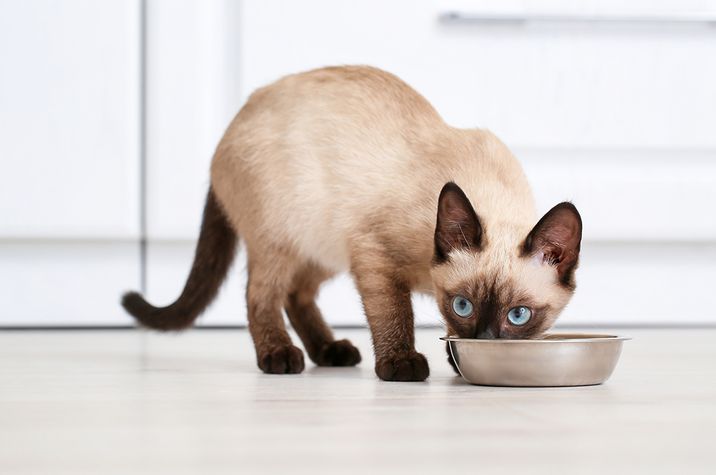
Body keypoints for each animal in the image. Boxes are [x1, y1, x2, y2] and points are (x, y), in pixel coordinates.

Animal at [123, 65, 580, 384]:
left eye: (518, 315)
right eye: (463, 305)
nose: (484, 341)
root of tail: (231, 127)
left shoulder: (370, 258)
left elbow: (441, 331)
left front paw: (457, 362)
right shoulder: (374, 257)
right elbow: (394, 315)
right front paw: (401, 364)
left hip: (323, 247)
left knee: (297, 295)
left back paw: (330, 351)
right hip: (282, 237)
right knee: (261, 295)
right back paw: (280, 356)